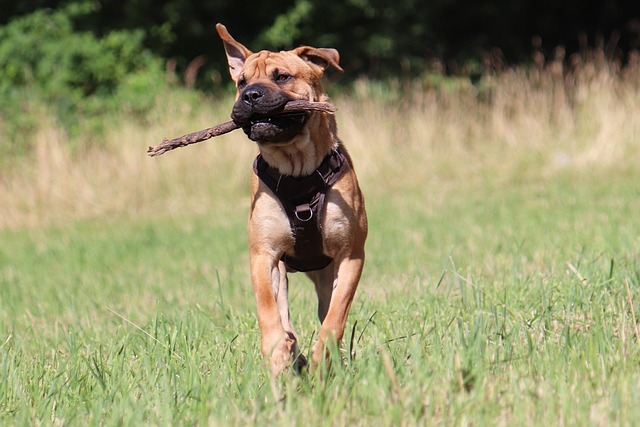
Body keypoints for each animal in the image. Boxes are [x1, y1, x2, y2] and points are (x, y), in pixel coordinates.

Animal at [214, 25, 364, 376]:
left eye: (282, 77)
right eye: (241, 82)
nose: (250, 95)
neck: (298, 172)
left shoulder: (351, 256)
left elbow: (336, 315)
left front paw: (324, 356)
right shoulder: (264, 255)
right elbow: (269, 307)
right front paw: (277, 351)